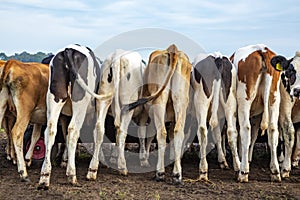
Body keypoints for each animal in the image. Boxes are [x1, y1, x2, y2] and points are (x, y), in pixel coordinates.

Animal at [37, 44, 112, 190]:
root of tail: (69, 50)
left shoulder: (66, 115)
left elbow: (65, 135)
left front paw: (65, 160)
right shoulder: (102, 103)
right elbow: (99, 131)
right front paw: (93, 169)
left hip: (55, 96)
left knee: (50, 130)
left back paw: (45, 176)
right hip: (80, 101)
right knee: (73, 130)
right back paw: (71, 174)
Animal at [122, 43, 191, 184]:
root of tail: (173, 51)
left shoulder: (147, 114)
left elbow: (146, 134)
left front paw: (145, 159)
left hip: (159, 102)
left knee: (161, 133)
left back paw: (160, 173)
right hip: (181, 100)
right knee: (178, 132)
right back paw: (177, 175)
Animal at [191, 52, 240, 180]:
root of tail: (217, 56)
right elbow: (218, 134)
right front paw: (222, 161)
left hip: (201, 99)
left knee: (202, 130)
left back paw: (203, 170)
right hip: (230, 99)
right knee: (231, 132)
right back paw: (238, 169)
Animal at [231, 44, 282, 183]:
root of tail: (262, 49)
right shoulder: (256, 116)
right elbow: (253, 137)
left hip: (244, 99)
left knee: (245, 129)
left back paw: (243, 172)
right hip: (274, 99)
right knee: (272, 130)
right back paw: (275, 171)